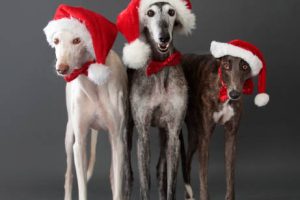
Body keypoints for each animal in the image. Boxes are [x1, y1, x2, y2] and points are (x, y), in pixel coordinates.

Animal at [43, 4, 130, 200]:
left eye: (77, 40)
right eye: (56, 40)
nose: (62, 69)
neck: (93, 83)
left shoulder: (118, 141)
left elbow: (118, 185)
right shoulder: (79, 143)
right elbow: (81, 186)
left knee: (113, 176)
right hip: (69, 137)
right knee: (68, 176)